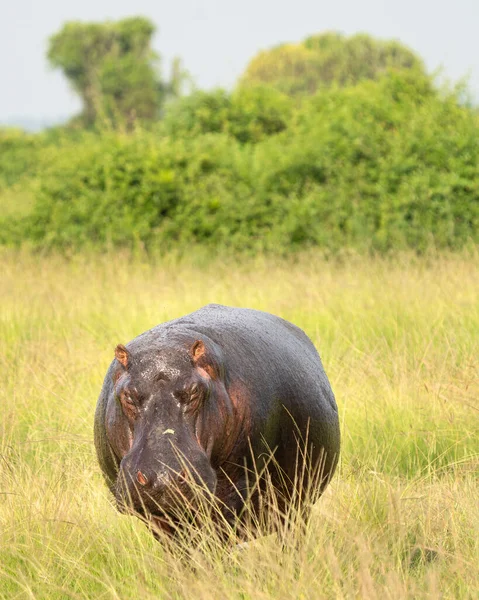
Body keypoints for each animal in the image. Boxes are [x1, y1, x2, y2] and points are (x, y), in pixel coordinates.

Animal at [94, 304, 342, 540]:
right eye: (128, 395)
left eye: (195, 391)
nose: (163, 479)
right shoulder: (159, 518)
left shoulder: (231, 498)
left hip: (297, 506)